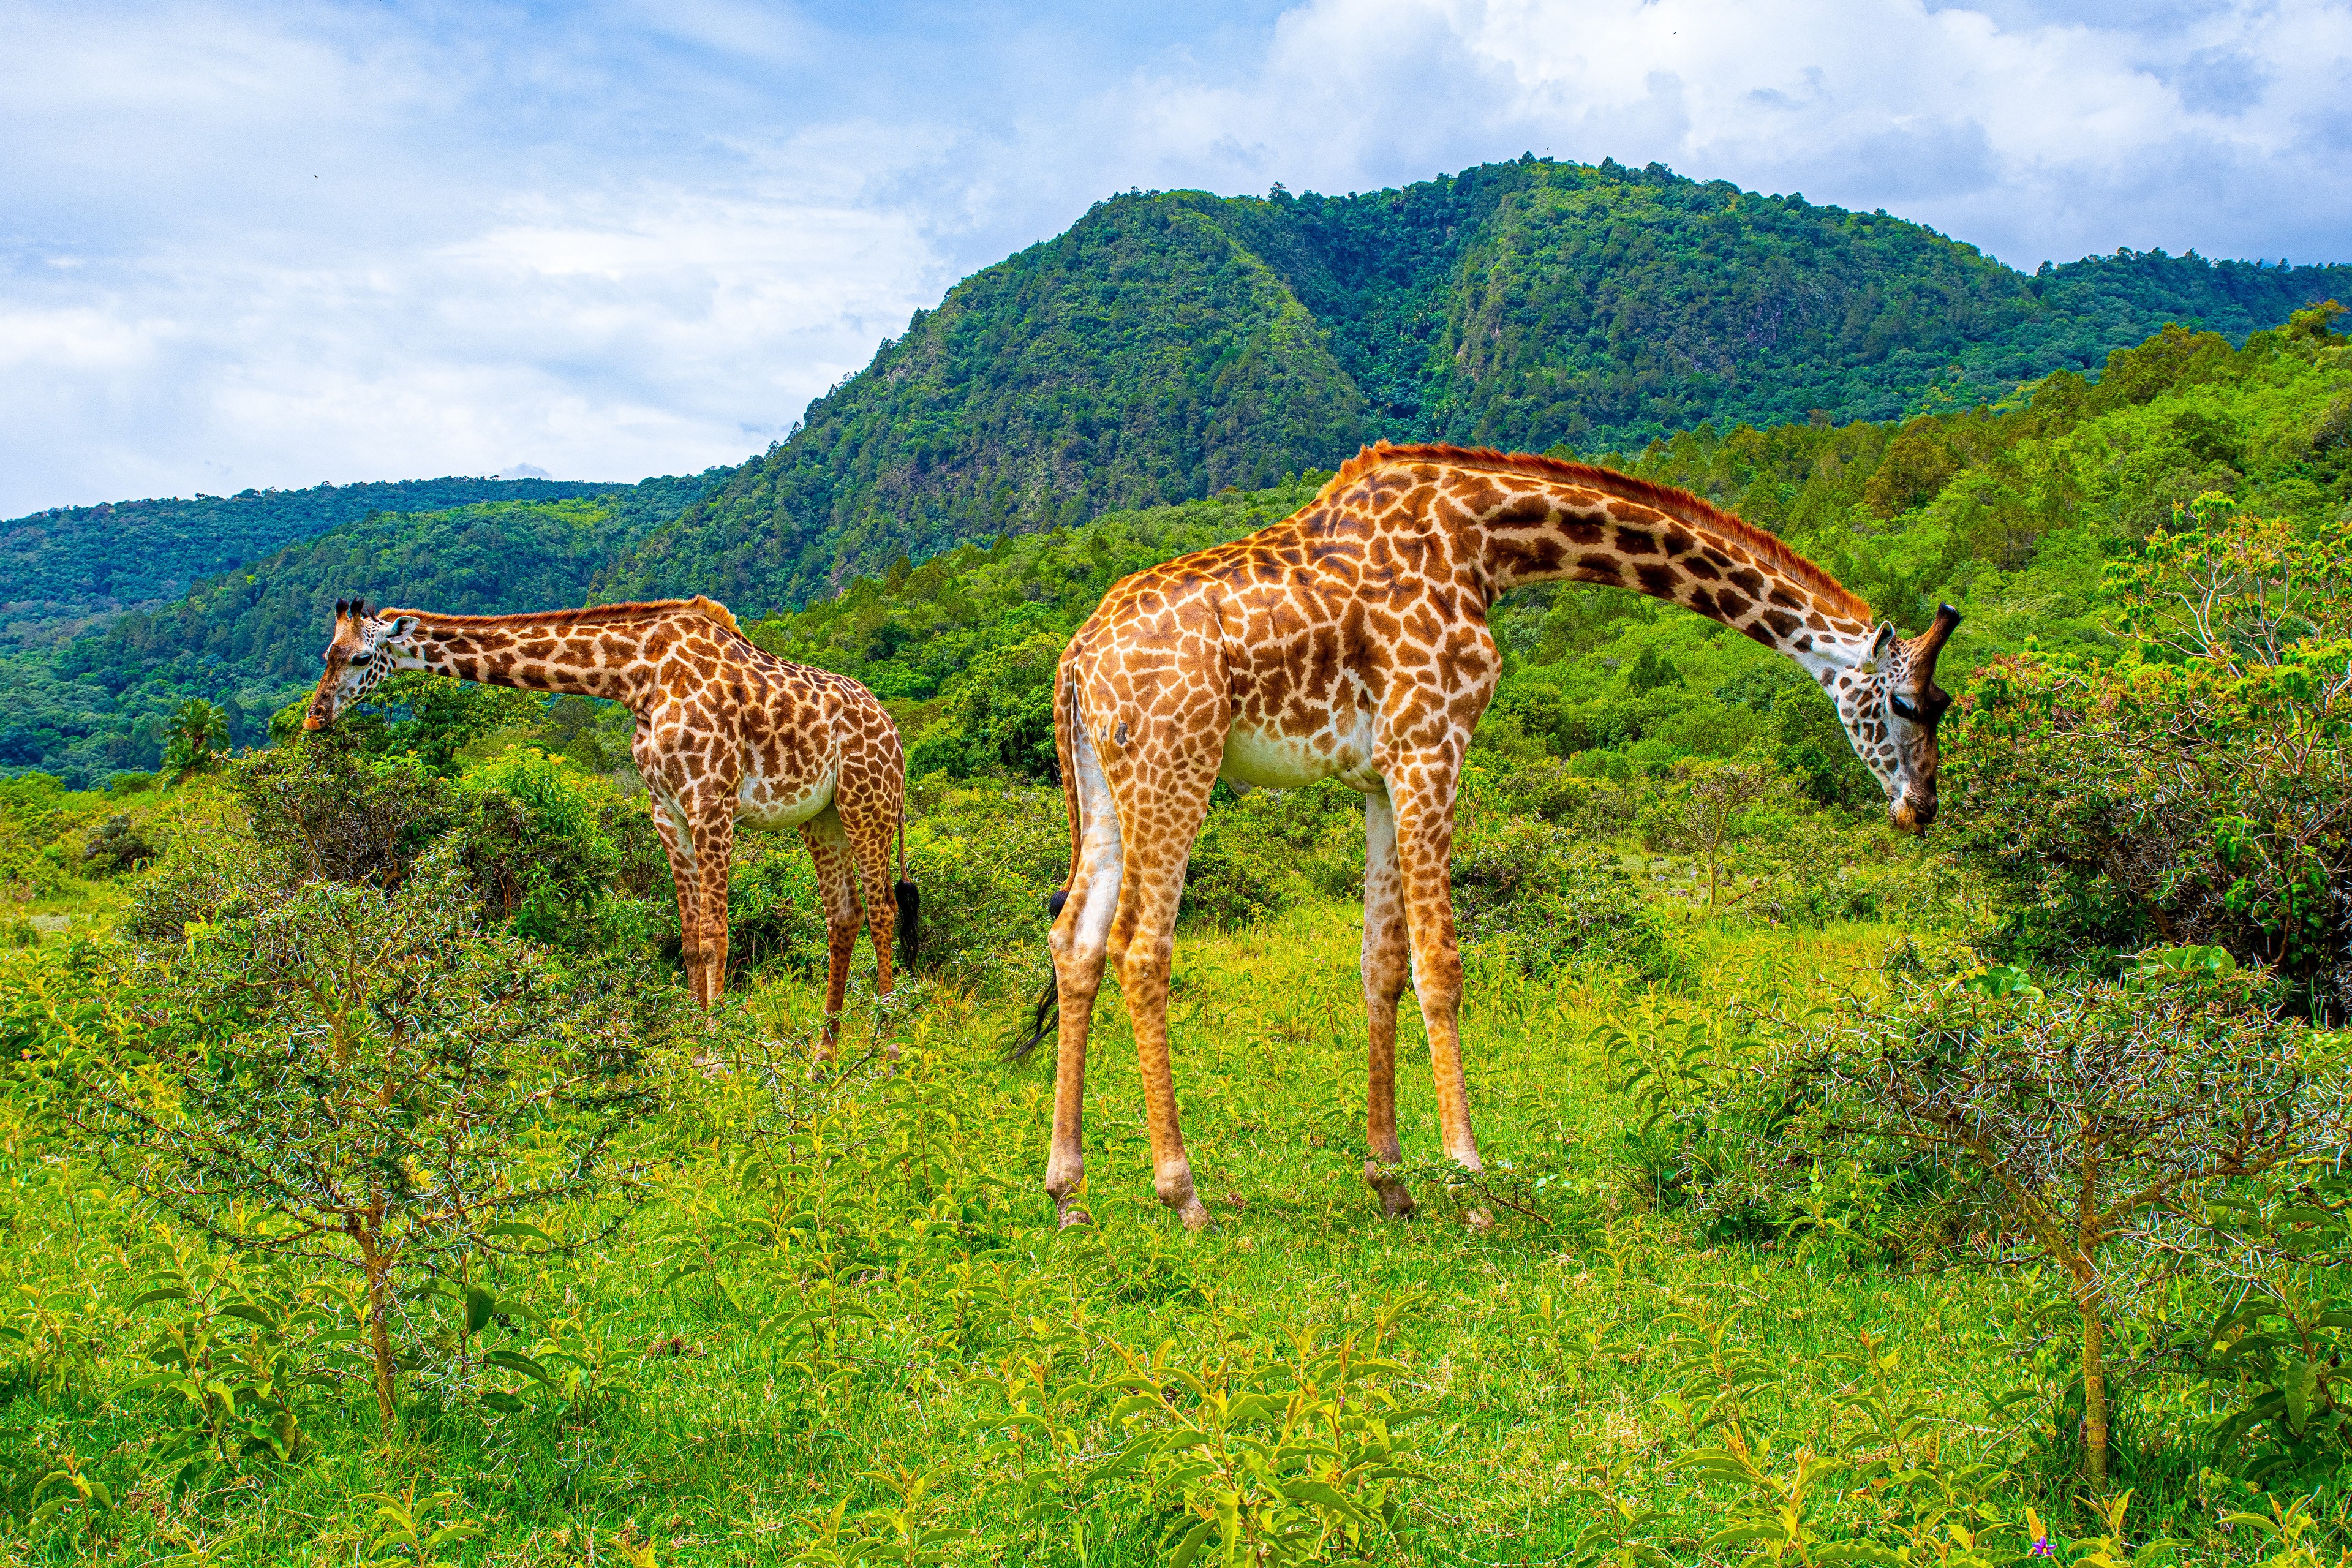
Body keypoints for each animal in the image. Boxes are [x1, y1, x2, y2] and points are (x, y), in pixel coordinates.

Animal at [302, 595, 917, 1029]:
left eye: (361, 658)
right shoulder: (668, 811)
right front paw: (697, 1048)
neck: (636, 676)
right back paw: (826, 1048)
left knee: (883, 909)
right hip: (823, 818)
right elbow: (691, 937)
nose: (314, 718)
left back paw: (883, 1036)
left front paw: (719, 1051)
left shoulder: (710, 801)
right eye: (325, 656)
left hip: (868, 803)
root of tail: (895, 733)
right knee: (844, 916)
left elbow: (717, 930)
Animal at [1030, 441, 1959, 1230]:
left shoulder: (1380, 773)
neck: (1484, 540)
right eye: (1909, 703)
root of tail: (1075, 657)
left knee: (1075, 939)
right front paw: (1472, 1184)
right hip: (1177, 759)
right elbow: (1441, 968)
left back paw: (1069, 1191)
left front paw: (1392, 1184)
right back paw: (1182, 1193)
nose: (1921, 806)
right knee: (1142, 946)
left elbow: (1380, 965)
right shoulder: (1431, 743)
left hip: (1108, 781)